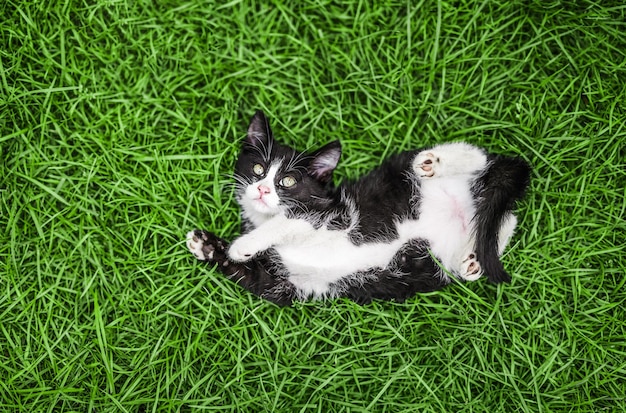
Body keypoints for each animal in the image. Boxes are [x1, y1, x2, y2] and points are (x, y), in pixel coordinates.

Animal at [185, 111, 528, 304]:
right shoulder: (284, 282)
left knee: (479, 158)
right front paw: (206, 246)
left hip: (419, 173)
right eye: (257, 169)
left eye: (288, 181)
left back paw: (433, 162)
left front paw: (242, 245)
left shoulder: (330, 213)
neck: (262, 217)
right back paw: (471, 261)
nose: (262, 189)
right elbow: (254, 278)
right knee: (504, 218)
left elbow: (291, 220)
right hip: (442, 253)